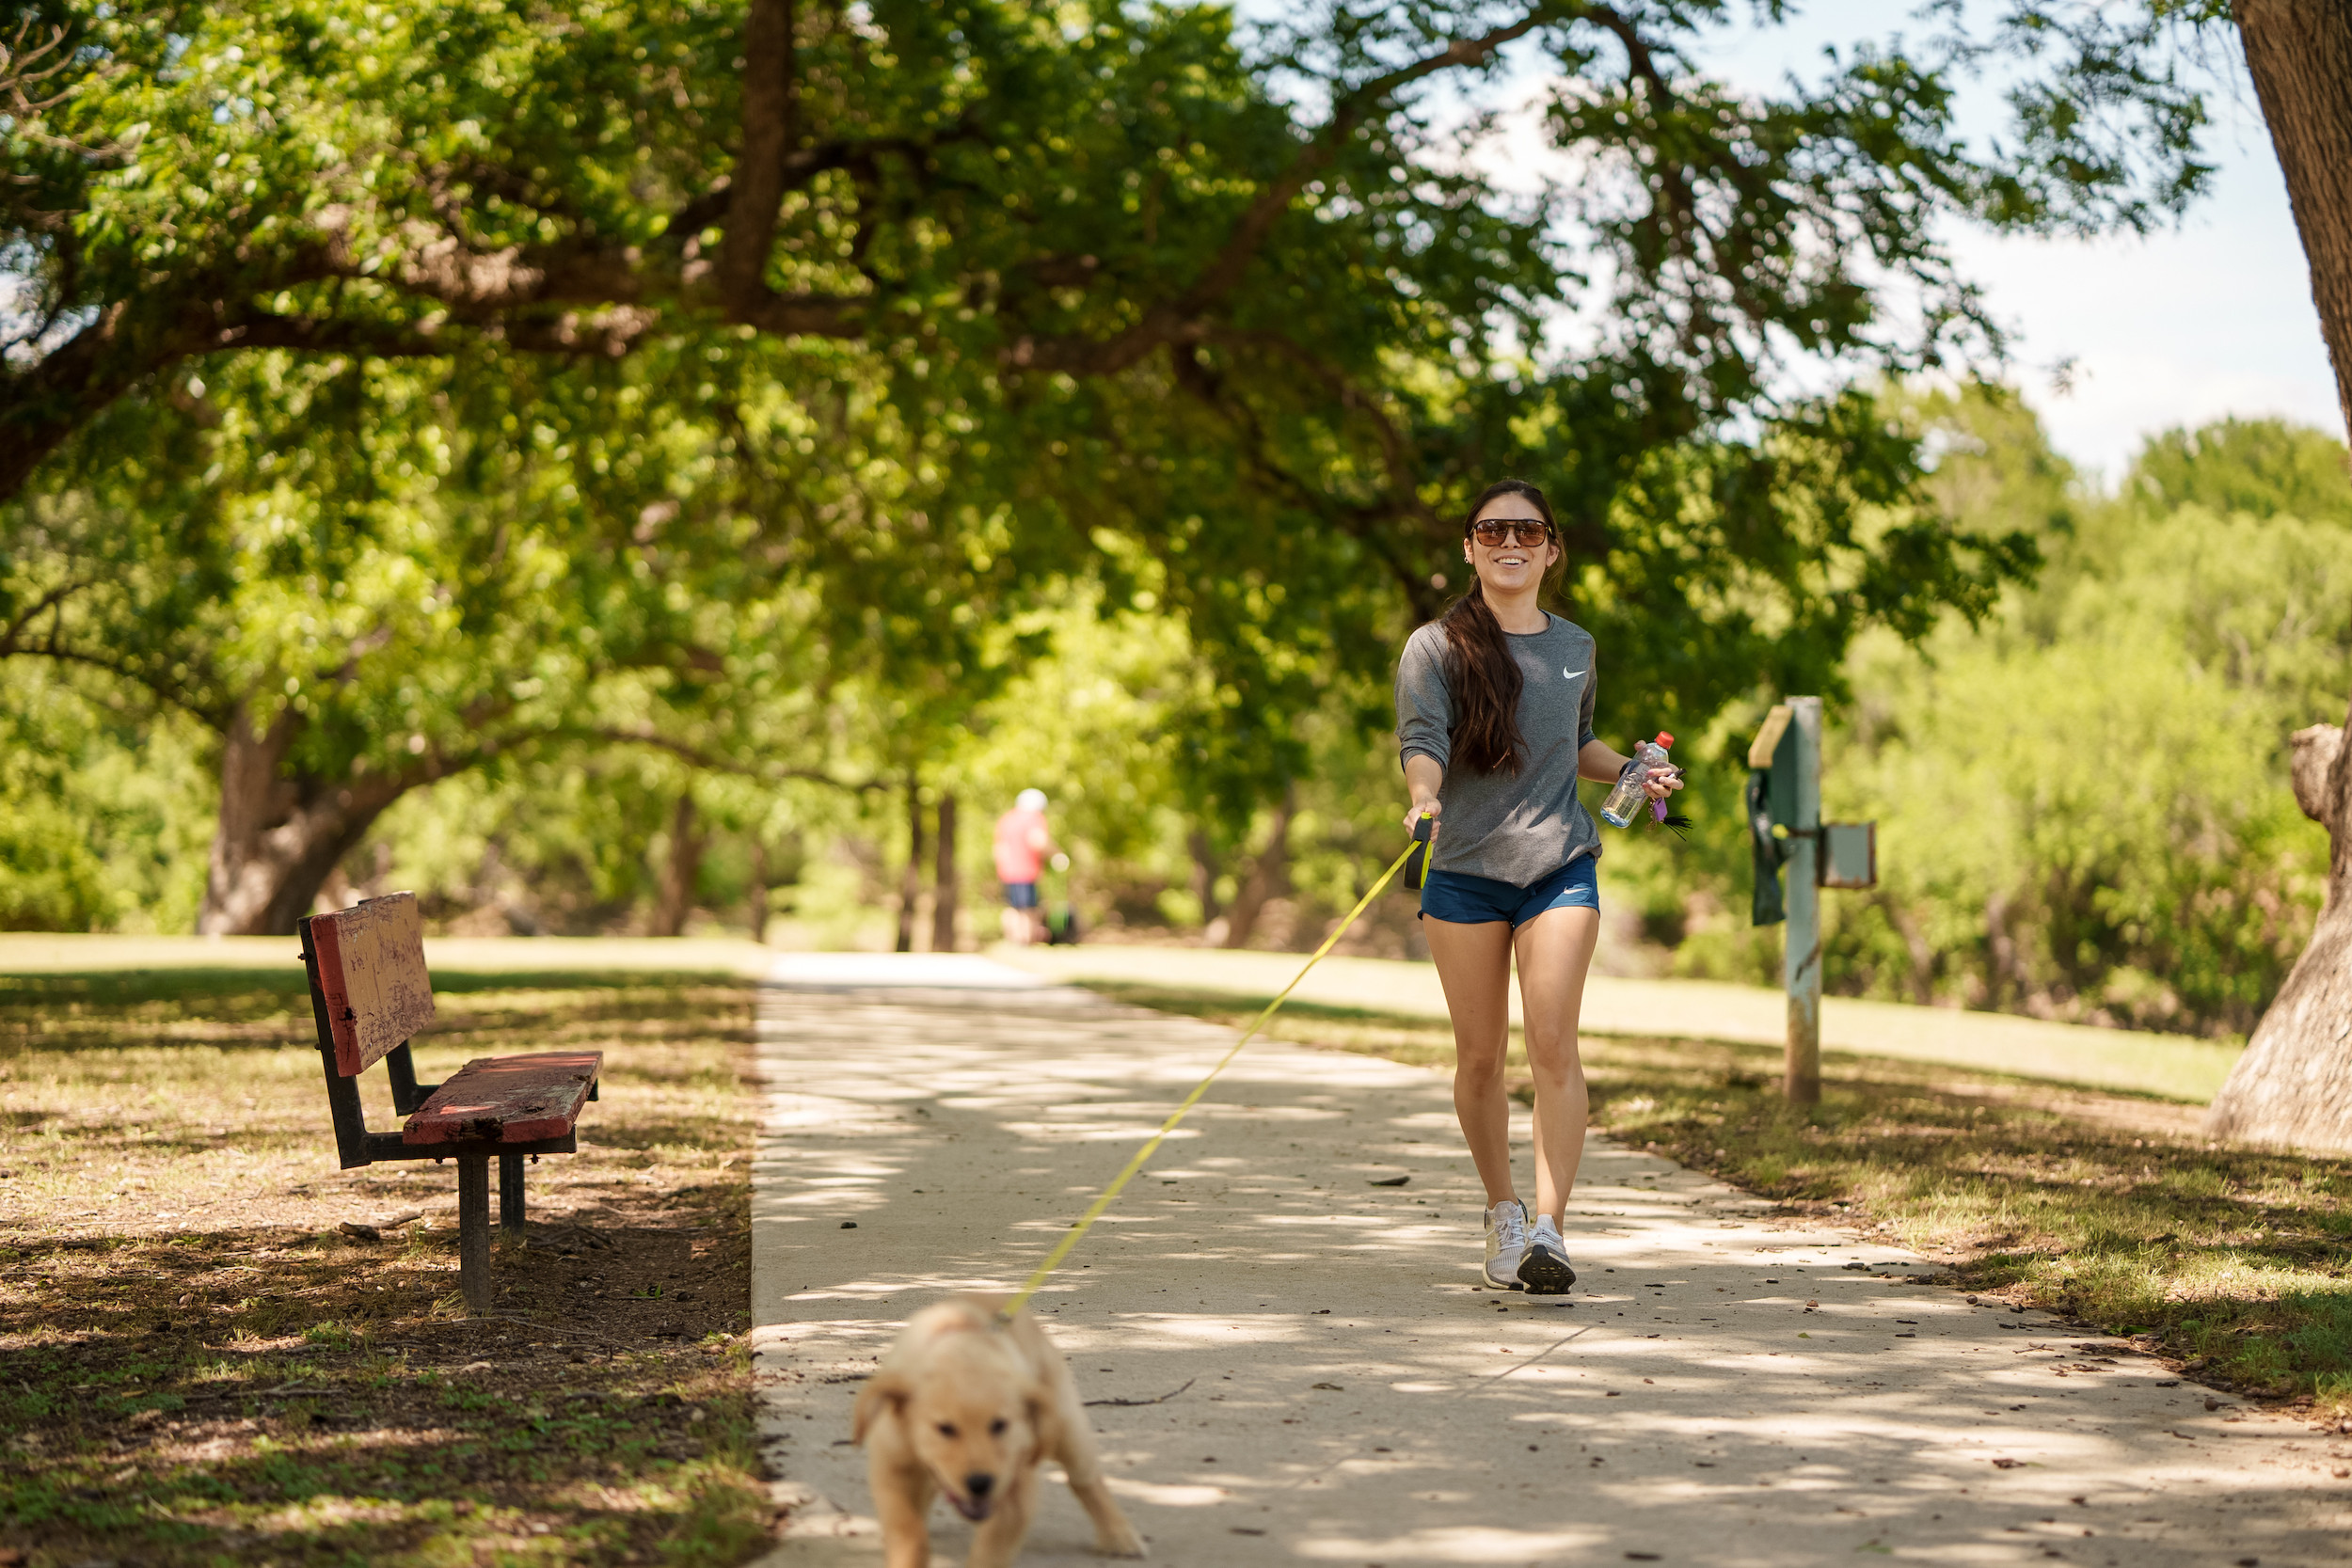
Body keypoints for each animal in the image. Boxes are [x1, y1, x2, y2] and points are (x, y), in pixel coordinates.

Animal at [856, 1297, 1148, 1568]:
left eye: (1000, 1425)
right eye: (944, 1428)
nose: (980, 1483)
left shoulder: (1015, 1488)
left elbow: (991, 1552)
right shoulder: (891, 1470)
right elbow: (908, 1530)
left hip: (1067, 1429)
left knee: (1086, 1480)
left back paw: (1120, 1536)